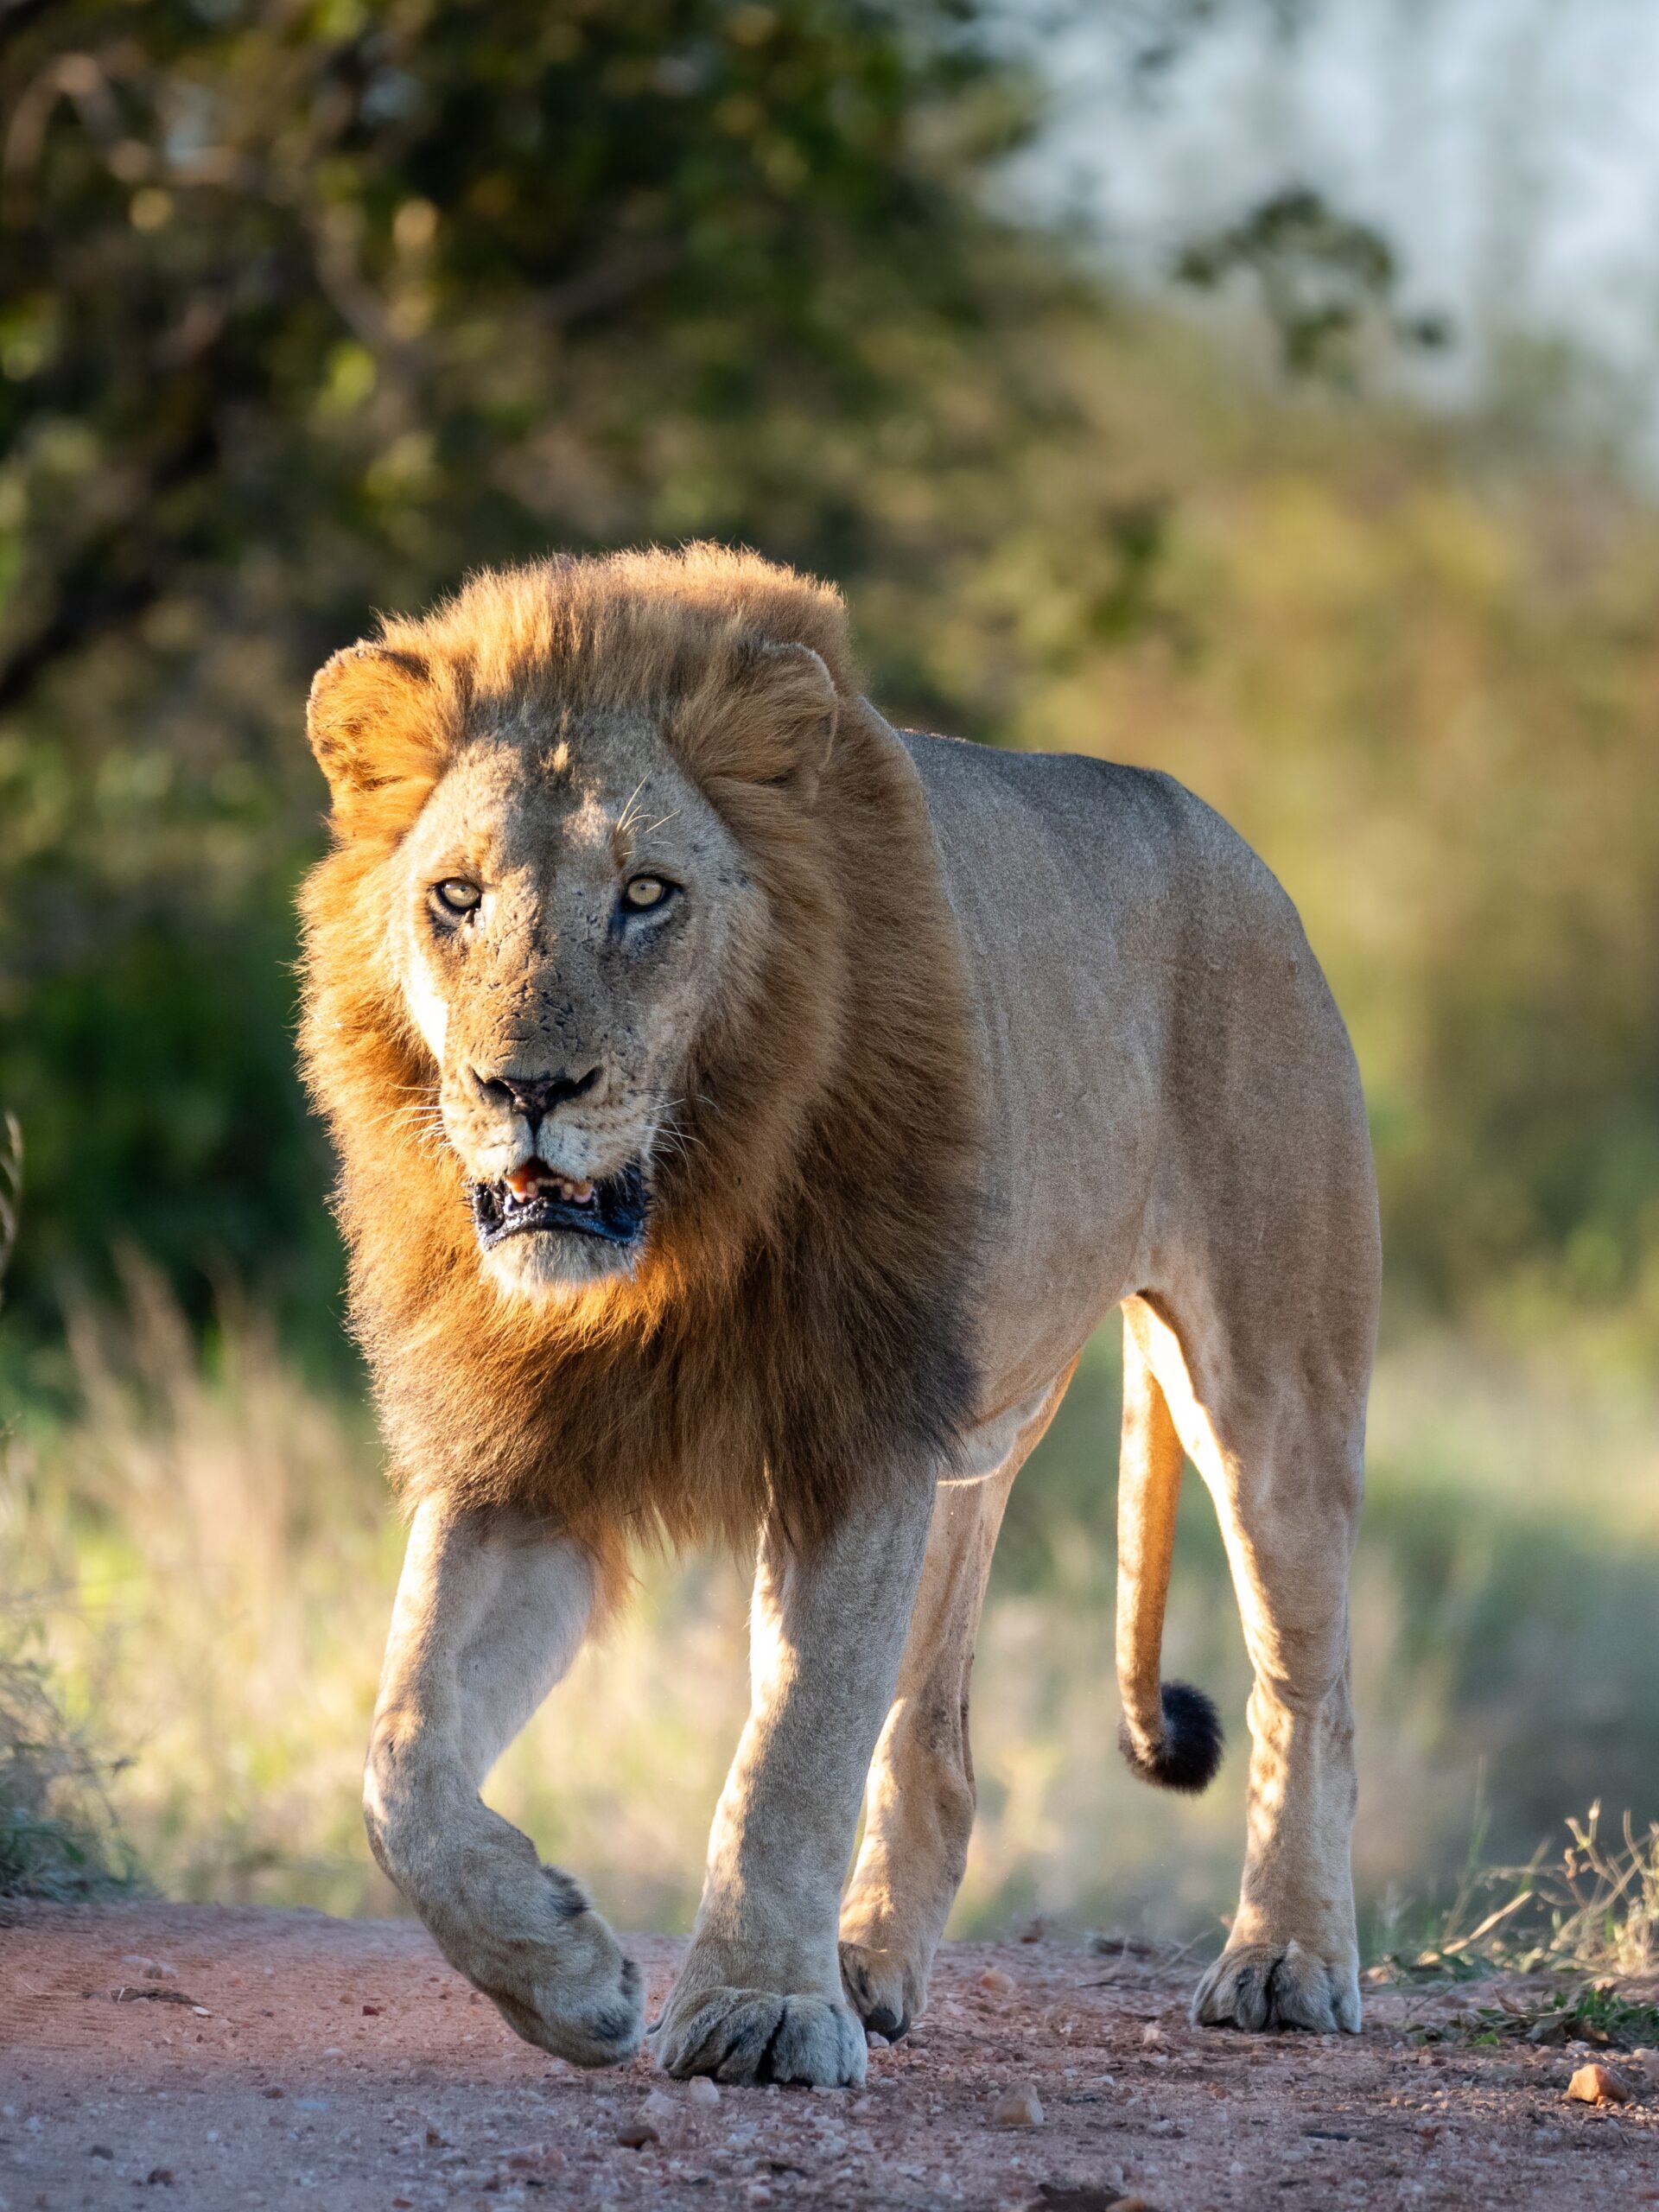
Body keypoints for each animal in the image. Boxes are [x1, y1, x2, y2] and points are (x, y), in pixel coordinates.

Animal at [299, 544, 1379, 2088]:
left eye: (647, 893)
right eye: (455, 897)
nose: (528, 1089)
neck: (675, 1234)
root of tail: (1216, 827)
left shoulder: (855, 1434)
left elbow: (794, 1748)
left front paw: (757, 2011)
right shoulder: (524, 1458)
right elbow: (402, 1762)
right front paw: (569, 1978)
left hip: (1272, 1388)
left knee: (1311, 1689)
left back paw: (1287, 1961)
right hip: (964, 1456)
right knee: (933, 1739)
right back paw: (867, 1965)